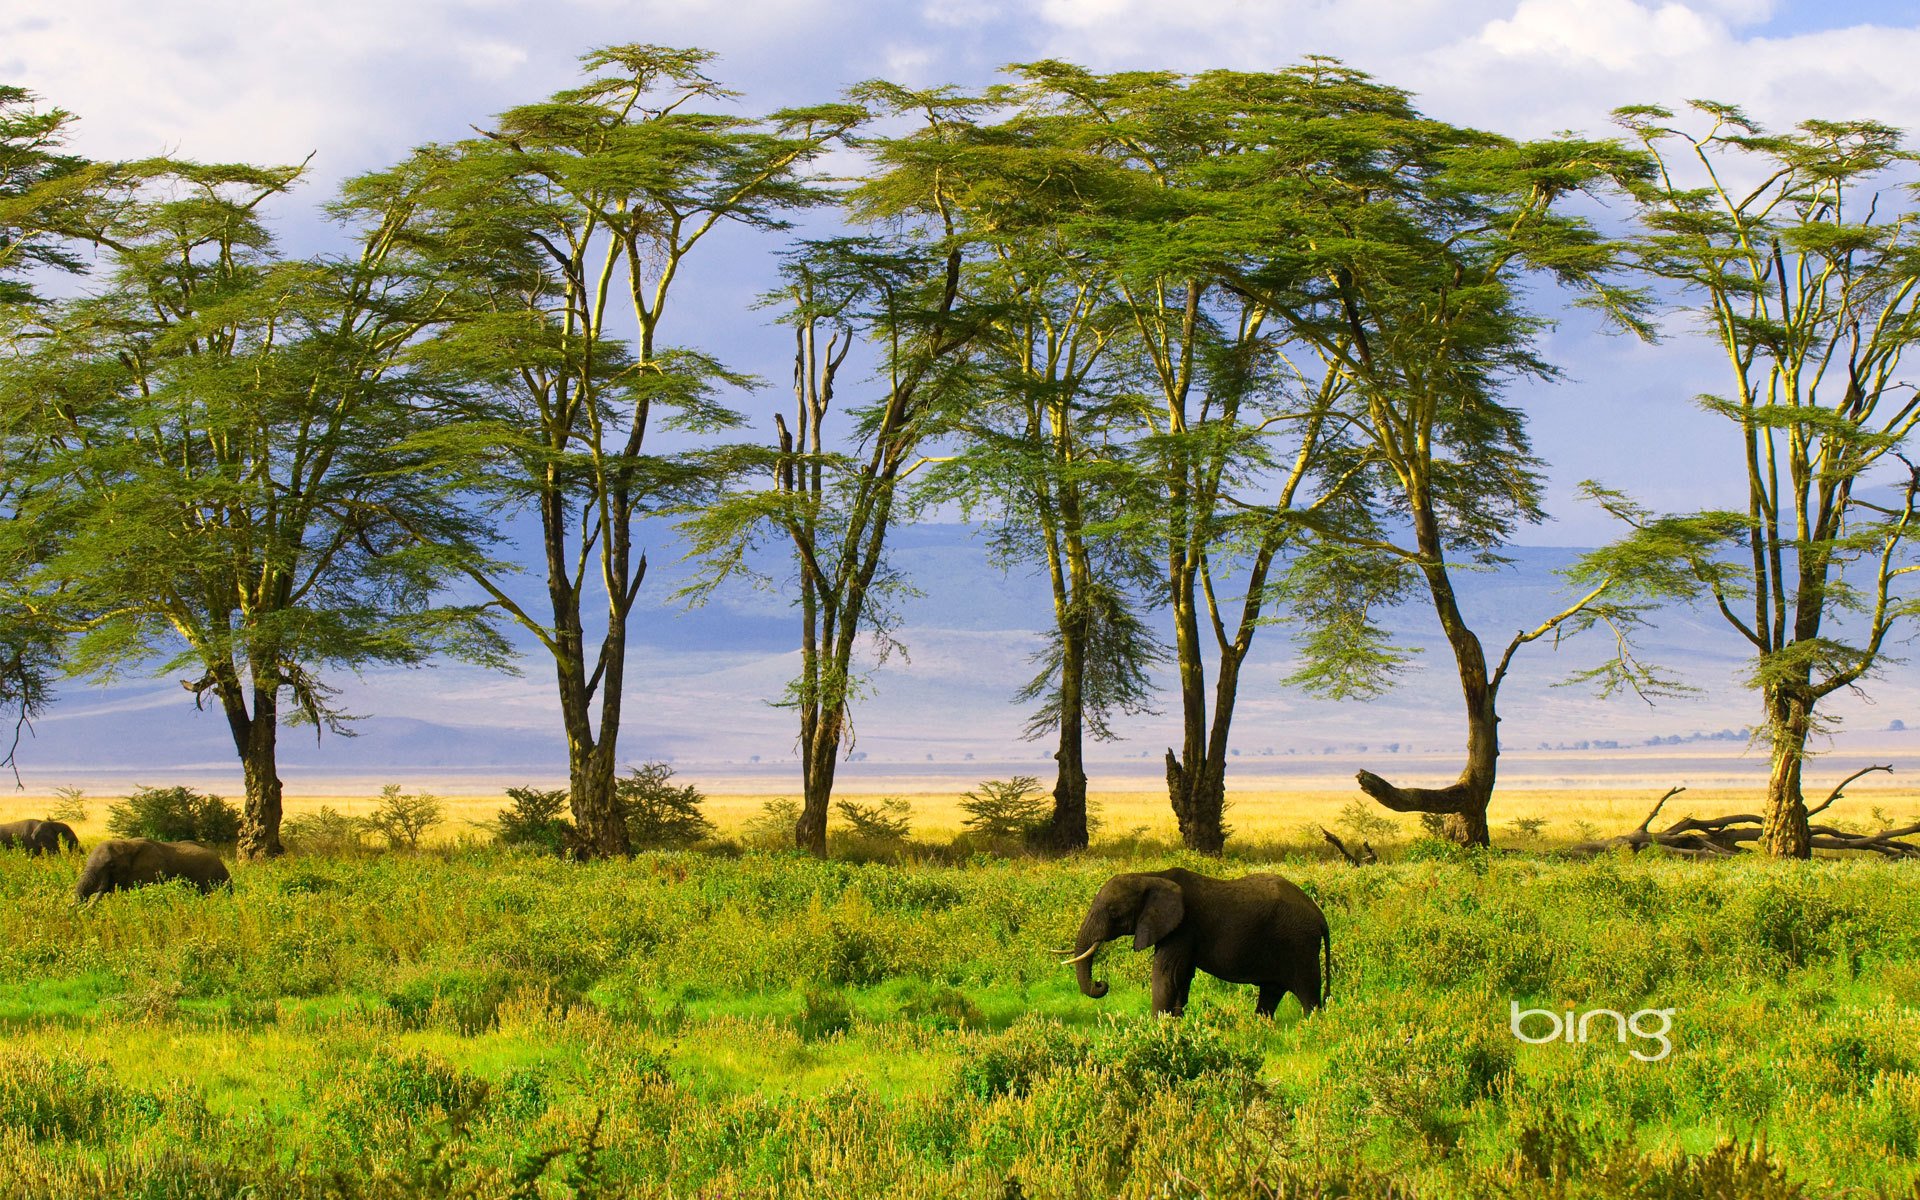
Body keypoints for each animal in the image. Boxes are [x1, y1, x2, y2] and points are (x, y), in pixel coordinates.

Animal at [1061, 867, 1329, 1018]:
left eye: (1113, 912)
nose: (1101, 984)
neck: (1151, 876)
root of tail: (1319, 915)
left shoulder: (1183, 926)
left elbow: (1166, 975)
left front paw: (1156, 1028)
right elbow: (1182, 978)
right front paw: (1175, 1024)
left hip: (1299, 944)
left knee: (1308, 994)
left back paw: (1312, 1027)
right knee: (1271, 993)